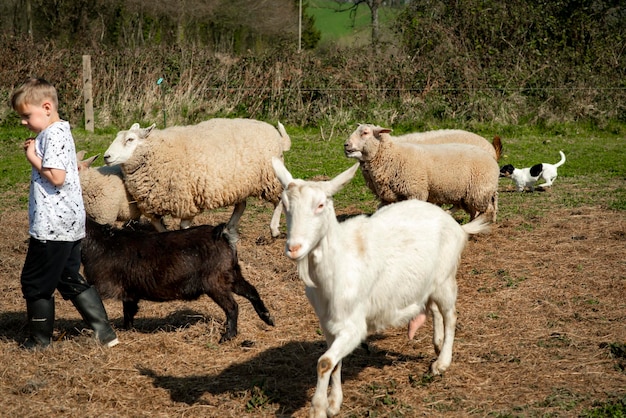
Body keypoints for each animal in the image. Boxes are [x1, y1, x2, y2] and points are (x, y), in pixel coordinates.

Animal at [103, 118, 292, 235]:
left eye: (130, 139)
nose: (106, 156)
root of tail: (277, 136)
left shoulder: (185, 199)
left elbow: (183, 226)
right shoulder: (153, 201)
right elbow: (158, 225)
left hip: (270, 177)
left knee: (280, 198)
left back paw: (274, 230)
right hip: (240, 183)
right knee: (241, 206)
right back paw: (229, 227)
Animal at [270, 158, 490, 418]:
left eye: (321, 205)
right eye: (285, 205)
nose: (293, 248)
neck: (339, 263)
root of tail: (456, 225)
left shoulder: (354, 325)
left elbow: (324, 363)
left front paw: (319, 407)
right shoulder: (328, 324)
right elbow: (334, 363)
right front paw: (334, 402)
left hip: (445, 278)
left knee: (451, 315)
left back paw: (442, 362)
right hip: (427, 283)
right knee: (436, 311)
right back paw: (437, 345)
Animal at [342, 122, 498, 222]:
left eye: (365, 133)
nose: (346, 145)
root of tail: (490, 151)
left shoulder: (415, 191)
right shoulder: (389, 196)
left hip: (478, 191)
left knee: (485, 207)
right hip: (464, 193)